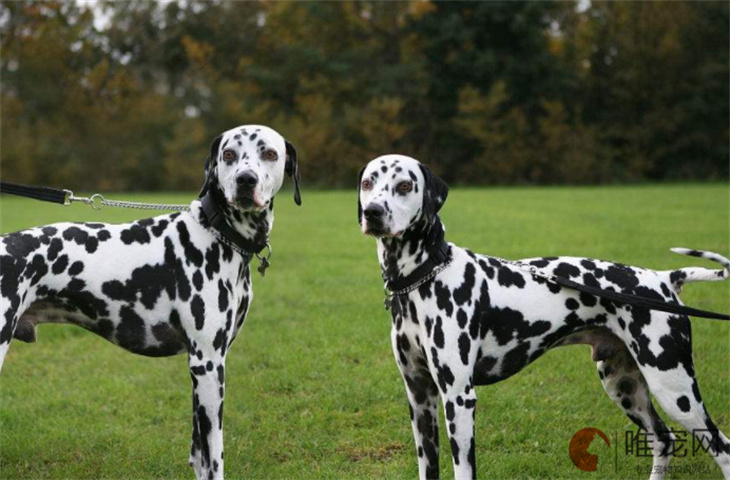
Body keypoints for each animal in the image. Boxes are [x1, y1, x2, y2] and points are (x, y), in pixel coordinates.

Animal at [0, 124, 300, 480]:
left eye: (269, 153)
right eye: (228, 154)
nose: (245, 180)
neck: (217, 232)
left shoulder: (201, 370)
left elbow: (199, 455)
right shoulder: (208, 364)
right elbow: (214, 457)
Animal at [356, 155, 728, 480]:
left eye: (405, 185)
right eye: (367, 182)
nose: (372, 213)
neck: (425, 275)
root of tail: (663, 279)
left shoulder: (458, 399)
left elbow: (463, 469)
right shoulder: (420, 398)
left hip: (674, 388)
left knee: (721, 447)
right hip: (624, 385)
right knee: (663, 439)